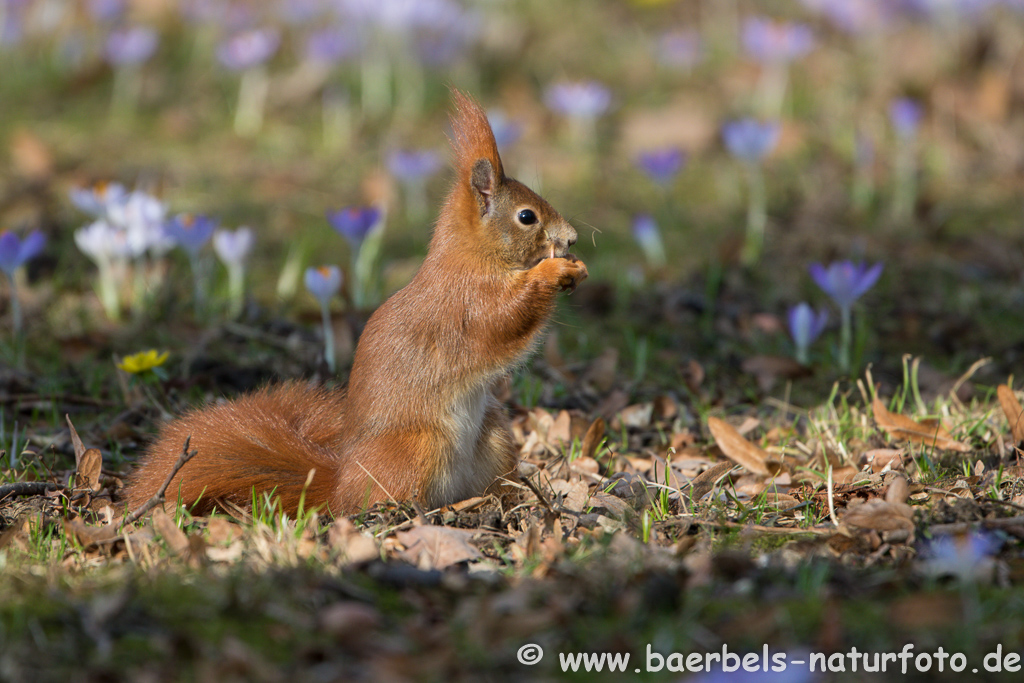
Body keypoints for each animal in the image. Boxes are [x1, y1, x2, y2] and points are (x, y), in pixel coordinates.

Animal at [123, 89, 589, 518]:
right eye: (527, 216)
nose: (571, 238)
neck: (472, 255)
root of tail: (342, 482)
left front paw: (575, 268)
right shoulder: (467, 301)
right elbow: (504, 318)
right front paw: (553, 272)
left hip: (493, 434)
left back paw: (507, 498)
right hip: (420, 447)